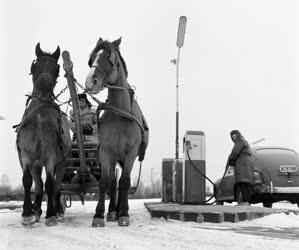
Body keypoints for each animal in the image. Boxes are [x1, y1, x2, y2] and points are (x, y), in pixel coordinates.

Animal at [16, 43, 72, 227]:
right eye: (36, 65)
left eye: (56, 69)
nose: (44, 86)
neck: (39, 116)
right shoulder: (26, 154)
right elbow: (28, 181)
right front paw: (27, 213)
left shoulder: (51, 153)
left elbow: (50, 183)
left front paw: (51, 214)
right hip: (36, 163)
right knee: (38, 184)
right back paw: (37, 210)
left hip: (61, 162)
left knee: (56, 184)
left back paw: (57, 210)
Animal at [85, 37, 149, 227]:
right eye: (91, 58)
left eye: (109, 58)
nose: (90, 82)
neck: (120, 114)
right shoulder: (106, 151)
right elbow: (105, 182)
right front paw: (99, 215)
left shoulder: (130, 152)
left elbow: (125, 182)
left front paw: (124, 214)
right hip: (114, 157)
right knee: (113, 183)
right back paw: (112, 211)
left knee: (121, 183)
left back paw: (119, 210)